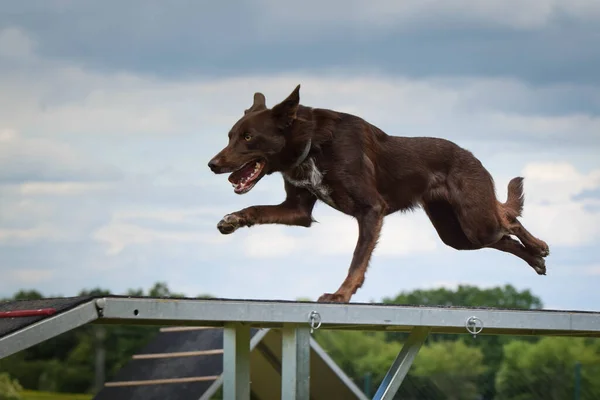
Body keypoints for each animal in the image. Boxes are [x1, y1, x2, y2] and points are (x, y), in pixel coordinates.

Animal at [207, 85, 548, 304]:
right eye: (230, 136)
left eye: (248, 137)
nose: (212, 165)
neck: (313, 143)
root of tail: (473, 158)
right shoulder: (298, 210)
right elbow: (256, 208)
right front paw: (231, 220)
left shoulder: (371, 209)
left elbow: (357, 260)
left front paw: (341, 294)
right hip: (456, 234)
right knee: (502, 239)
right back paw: (535, 260)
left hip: (476, 220)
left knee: (508, 221)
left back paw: (538, 246)